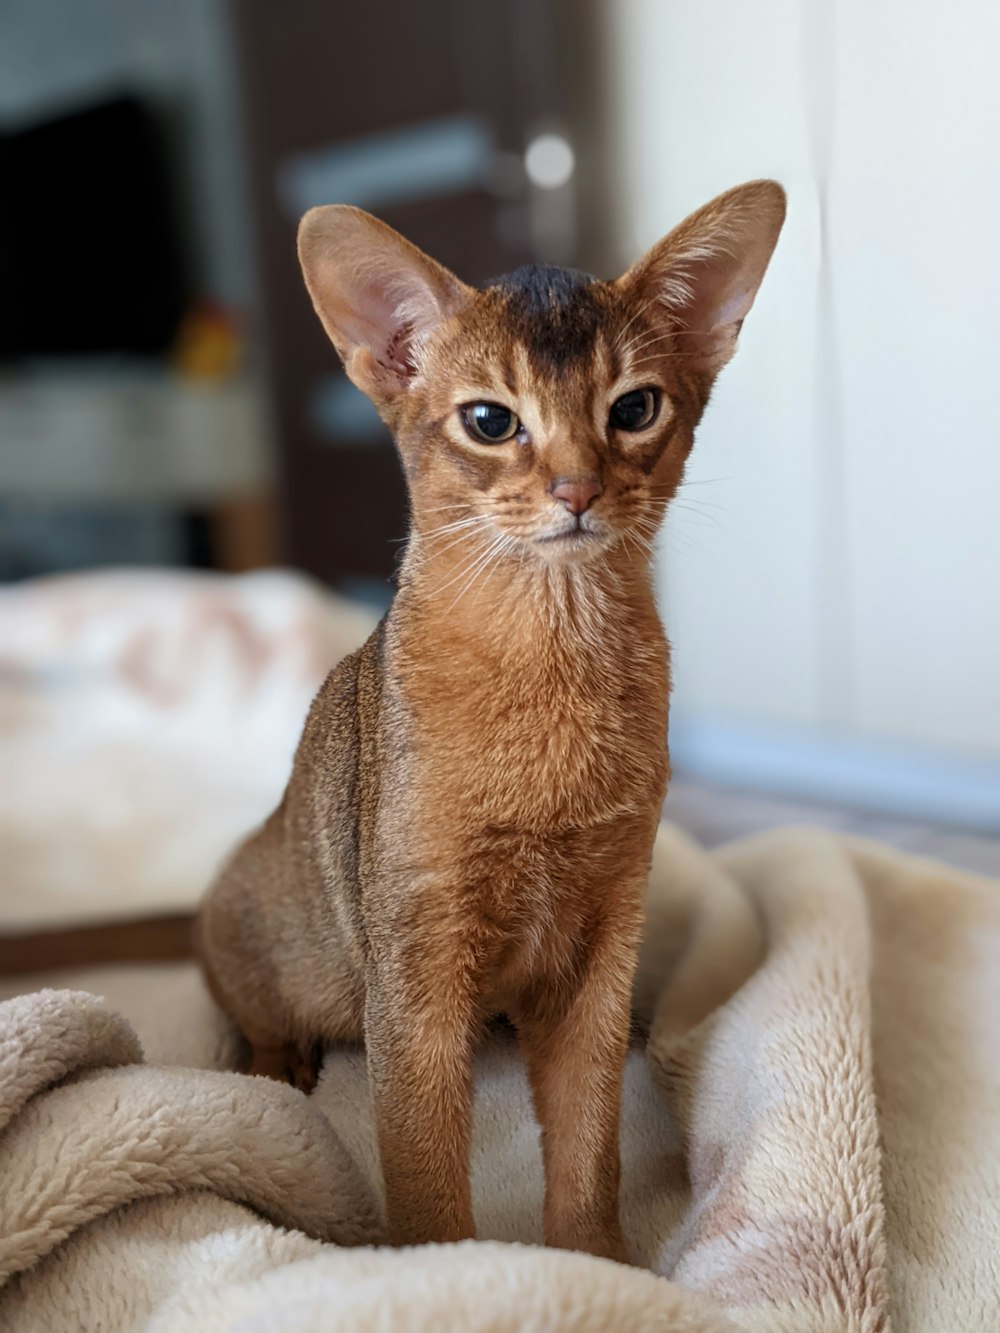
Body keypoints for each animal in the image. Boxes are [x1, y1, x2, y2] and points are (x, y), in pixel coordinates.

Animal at [196, 179, 789, 1258]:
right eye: (488, 418)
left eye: (633, 407)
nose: (577, 489)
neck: (553, 663)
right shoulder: (418, 966)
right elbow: (426, 1172)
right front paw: (456, 1272)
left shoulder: (601, 942)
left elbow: (591, 1140)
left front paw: (599, 1267)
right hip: (270, 937)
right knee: (251, 1008)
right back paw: (275, 1065)